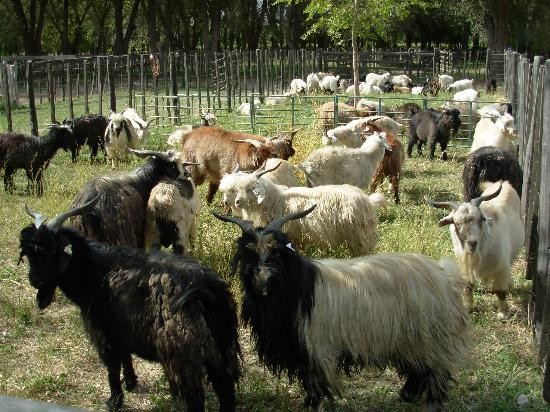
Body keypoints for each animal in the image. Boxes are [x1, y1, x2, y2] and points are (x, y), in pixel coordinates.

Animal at [20, 199, 240, 408]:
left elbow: (112, 367)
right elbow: (126, 357)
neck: (92, 270)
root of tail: (210, 290)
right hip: (222, 349)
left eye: (53, 249)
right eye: (28, 254)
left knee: (197, 400)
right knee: (226, 390)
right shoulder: (120, 329)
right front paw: (131, 382)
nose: (35, 281)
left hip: (182, 355)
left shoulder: (102, 331)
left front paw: (114, 400)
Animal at [213, 208, 472, 412]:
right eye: (248, 253)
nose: (263, 282)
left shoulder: (316, 348)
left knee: (435, 369)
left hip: (429, 336)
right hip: (409, 338)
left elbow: (315, 381)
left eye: (277, 252)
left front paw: (315, 403)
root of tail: (445, 276)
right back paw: (407, 394)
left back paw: (432, 401)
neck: (295, 287)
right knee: (417, 366)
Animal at [426, 180, 528, 318]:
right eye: (456, 223)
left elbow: (500, 291)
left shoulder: (501, 268)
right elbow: (468, 285)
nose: (472, 243)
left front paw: (502, 313)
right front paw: (468, 308)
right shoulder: (465, 264)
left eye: (480, 220)